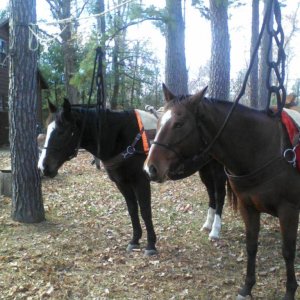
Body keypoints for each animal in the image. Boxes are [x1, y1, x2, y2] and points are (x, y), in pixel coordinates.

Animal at [144, 84, 298, 300]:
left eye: (179, 124)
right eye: (158, 122)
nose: (150, 168)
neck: (263, 149)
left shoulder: (288, 210)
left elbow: (288, 251)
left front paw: (290, 291)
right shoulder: (247, 207)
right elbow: (251, 246)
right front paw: (247, 287)